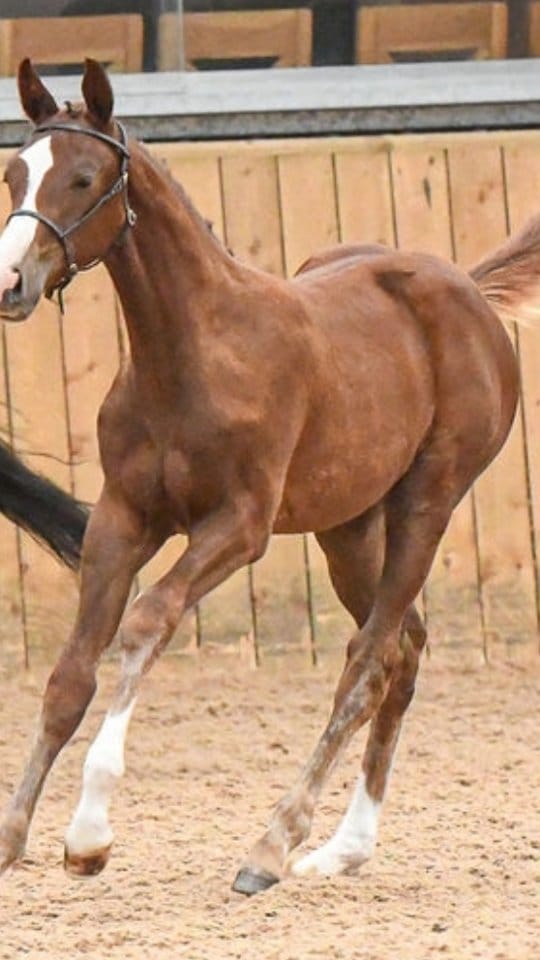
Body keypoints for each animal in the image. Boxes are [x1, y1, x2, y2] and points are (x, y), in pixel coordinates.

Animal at [0, 57, 535, 895]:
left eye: (83, 178)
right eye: (15, 173)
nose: (10, 285)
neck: (192, 354)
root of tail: (470, 290)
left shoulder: (239, 526)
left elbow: (146, 623)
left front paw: (89, 835)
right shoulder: (122, 517)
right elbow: (69, 675)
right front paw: (14, 833)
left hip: (429, 501)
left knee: (368, 660)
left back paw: (271, 845)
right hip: (348, 526)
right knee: (405, 648)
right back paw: (344, 847)